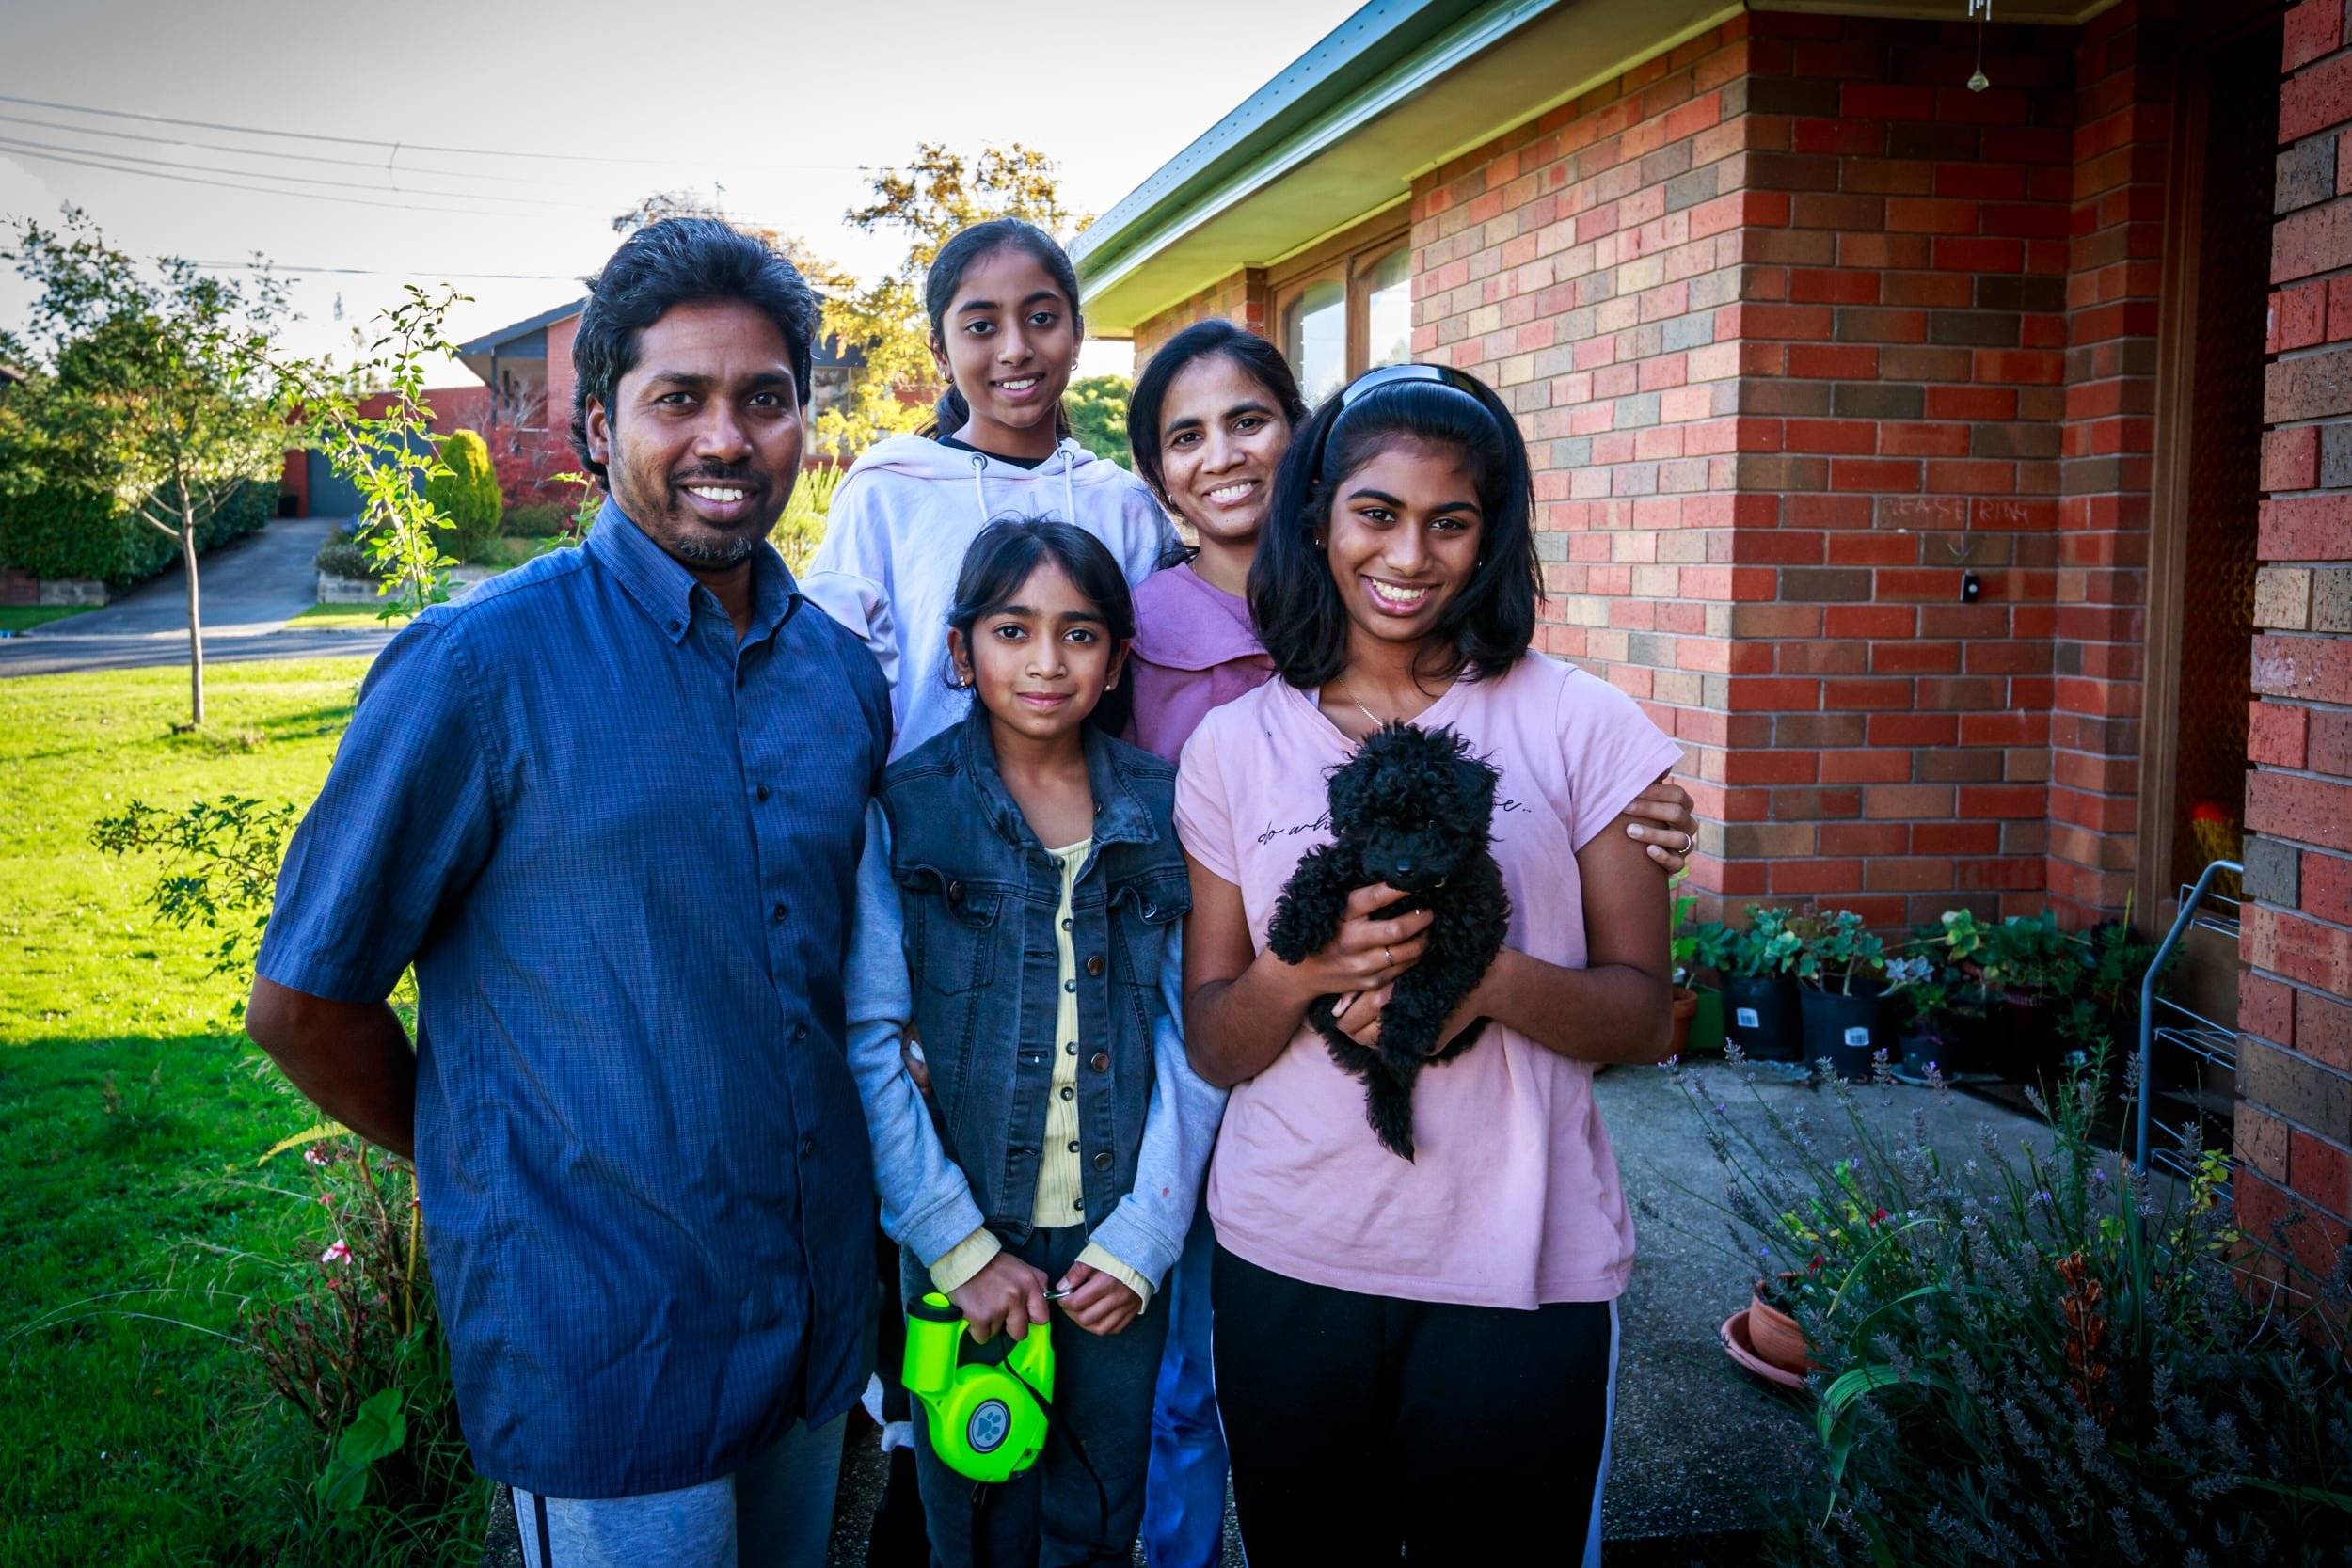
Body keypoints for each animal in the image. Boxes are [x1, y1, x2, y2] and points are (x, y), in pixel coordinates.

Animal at [1270, 719, 1505, 1151]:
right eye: (1378, 822)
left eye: (1432, 822)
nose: (1404, 866)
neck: (1411, 894)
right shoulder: (1354, 857)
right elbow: (1321, 870)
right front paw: (1292, 931)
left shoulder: (1467, 930)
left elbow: (1425, 986)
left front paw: (1401, 1039)